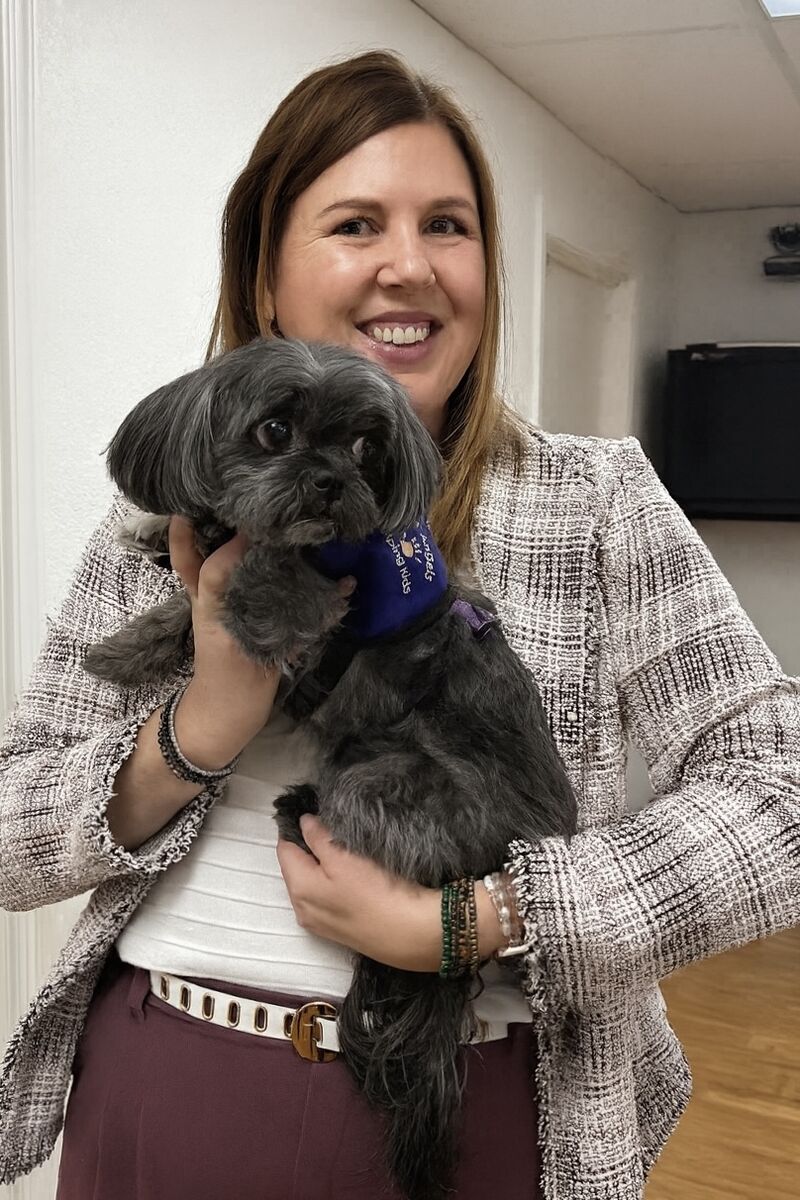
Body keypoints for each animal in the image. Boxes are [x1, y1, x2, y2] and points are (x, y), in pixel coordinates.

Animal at [84, 337, 578, 1200]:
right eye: (275, 430)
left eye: (366, 449)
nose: (330, 482)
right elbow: (182, 606)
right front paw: (132, 630)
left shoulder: (318, 621)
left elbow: (264, 594)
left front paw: (226, 576)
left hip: (383, 783)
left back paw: (300, 813)